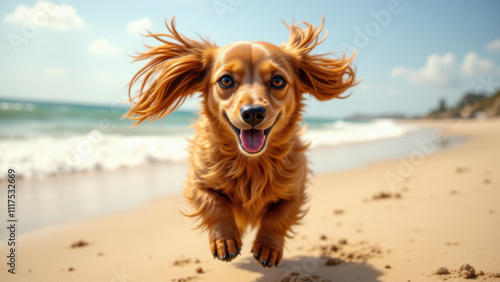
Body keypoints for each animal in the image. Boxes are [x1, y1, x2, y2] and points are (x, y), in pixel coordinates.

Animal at [127, 16, 358, 268]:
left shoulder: (295, 190)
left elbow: (278, 217)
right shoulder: (197, 183)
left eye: (278, 81)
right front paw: (225, 241)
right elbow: (215, 205)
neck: (250, 163)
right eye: (226, 80)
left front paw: (268, 247)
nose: (253, 112)